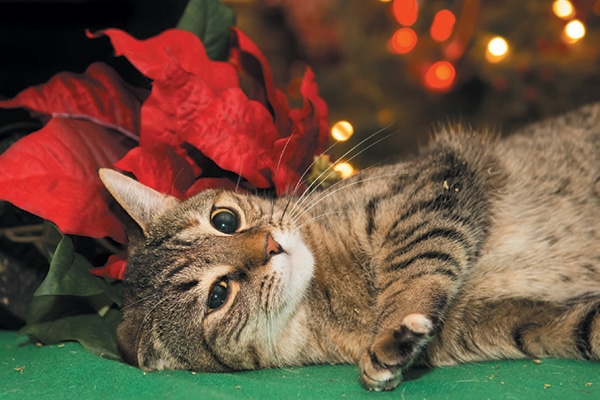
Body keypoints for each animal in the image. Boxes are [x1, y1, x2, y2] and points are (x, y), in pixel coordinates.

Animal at [99, 102, 600, 390]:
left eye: (225, 220)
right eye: (218, 295)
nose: (270, 245)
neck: (329, 293)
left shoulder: (432, 181)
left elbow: (417, 259)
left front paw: (393, 324)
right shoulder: (500, 321)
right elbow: (580, 327)